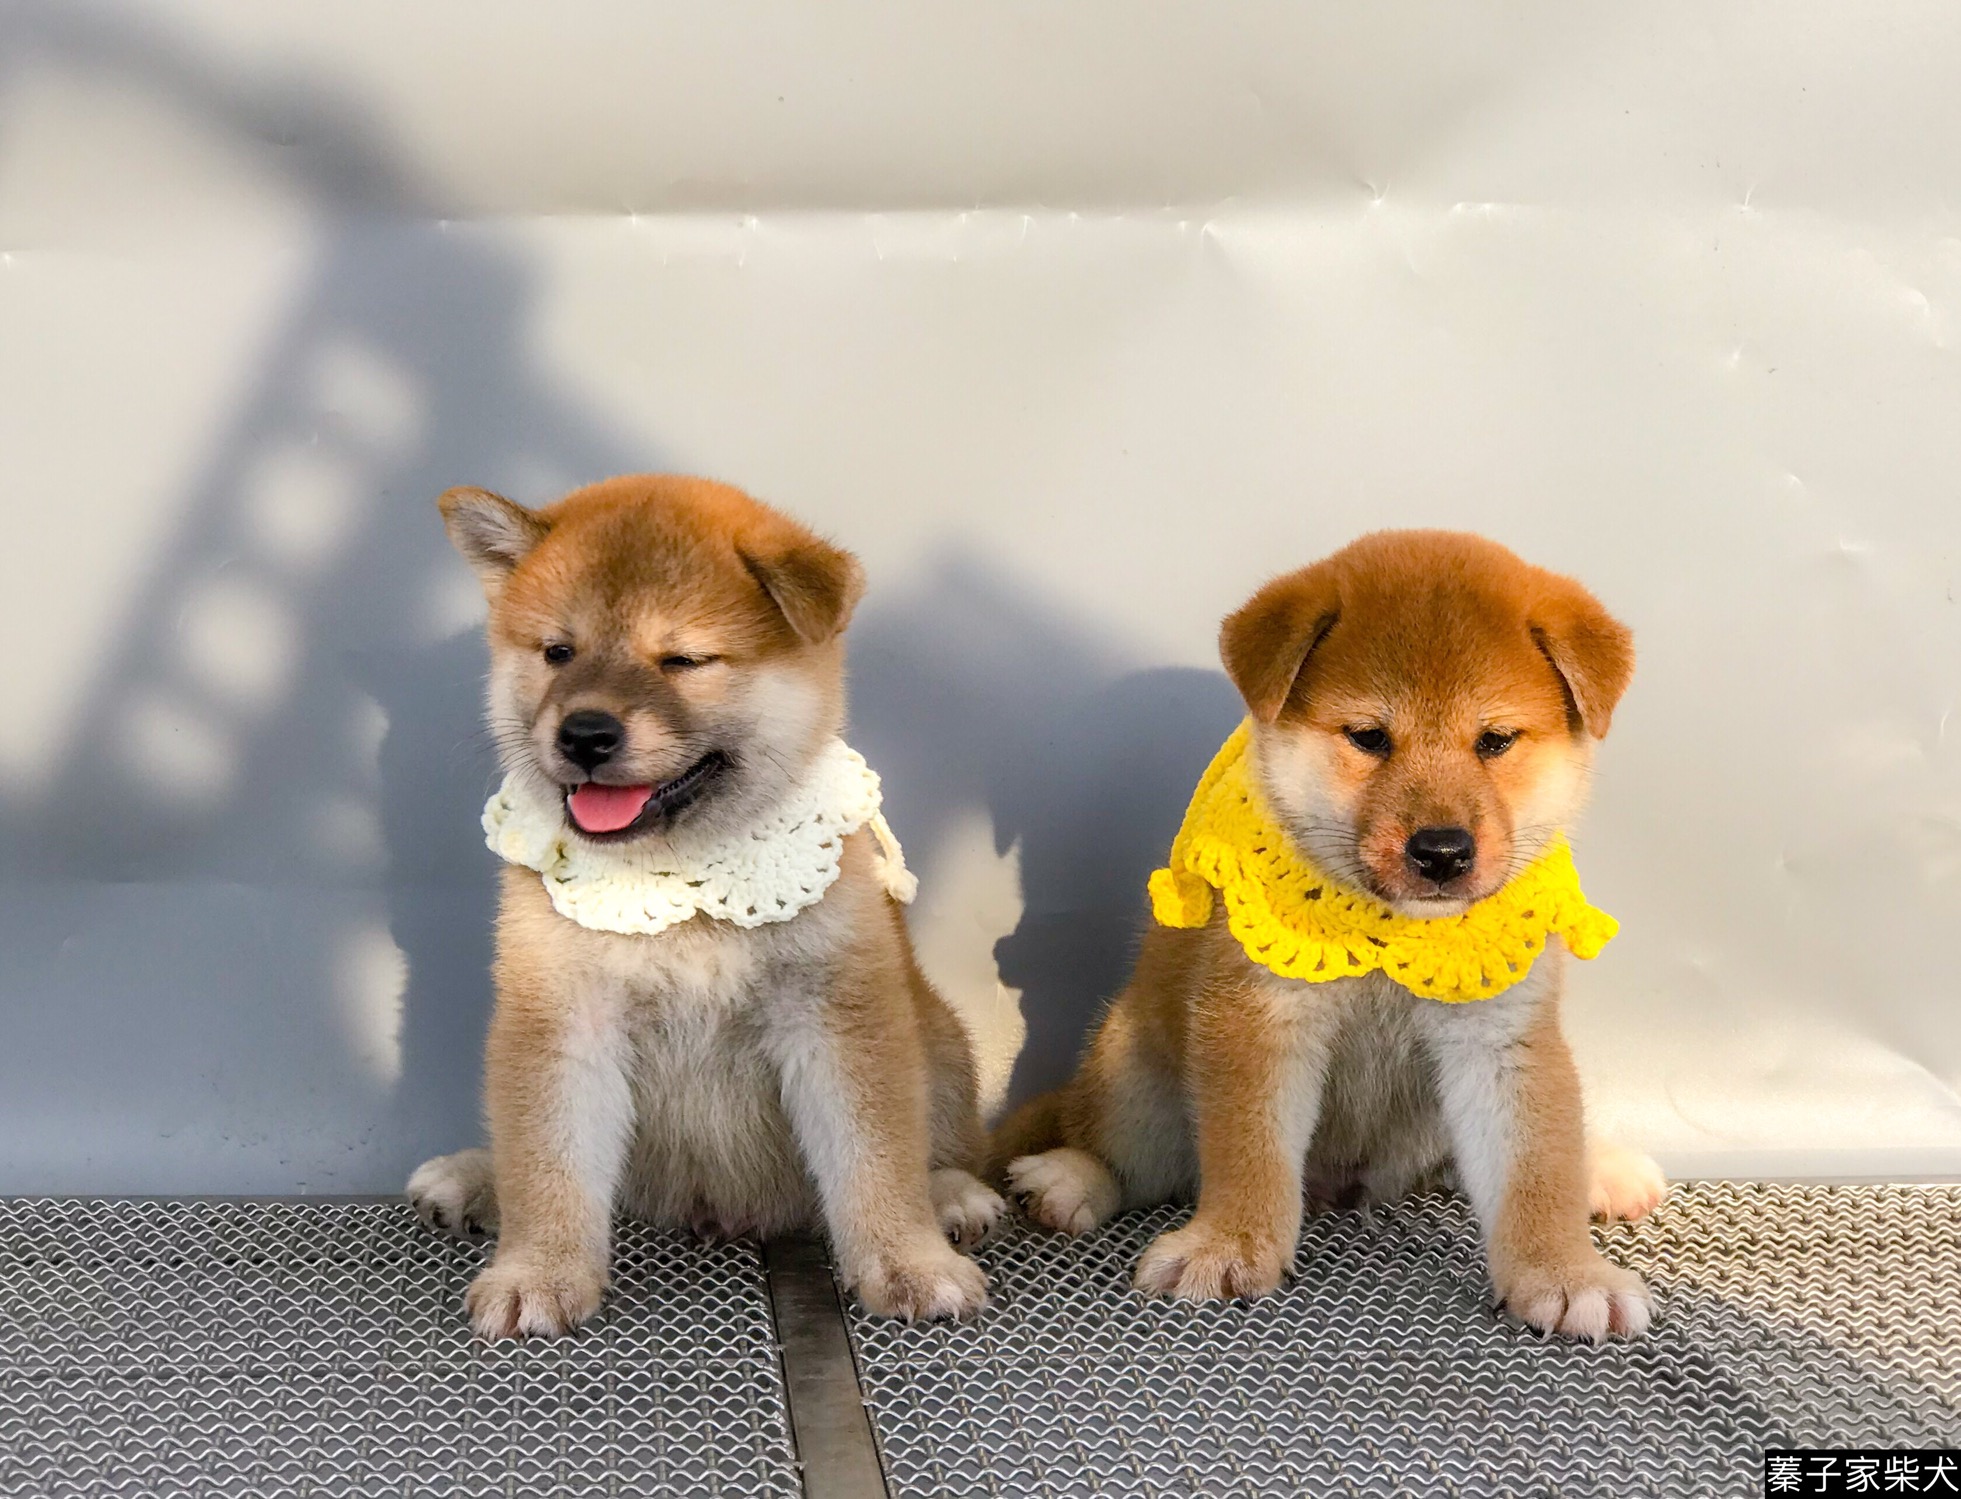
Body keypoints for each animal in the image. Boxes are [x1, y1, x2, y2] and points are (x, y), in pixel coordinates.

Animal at [408, 475, 1001, 1337]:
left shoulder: (836, 1013)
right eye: (558, 652)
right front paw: (538, 1268)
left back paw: (951, 1193)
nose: (584, 733)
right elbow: (547, 1159)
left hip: (941, 1039)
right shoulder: (562, 1014)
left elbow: (876, 1152)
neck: (681, 877)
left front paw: (907, 1259)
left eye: (683, 659)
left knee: (941, 1140)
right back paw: (473, 1177)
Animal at [993, 530, 1665, 1340]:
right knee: (1117, 1150)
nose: (1442, 851)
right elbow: (1249, 1153)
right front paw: (1230, 1244)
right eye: (1369, 737)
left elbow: (1537, 1166)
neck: (1390, 936)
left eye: (1496, 740)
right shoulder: (1259, 1017)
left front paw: (1564, 1273)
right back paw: (1068, 1176)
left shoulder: (1500, 1035)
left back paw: (1602, 1169)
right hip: (1132, 1075)